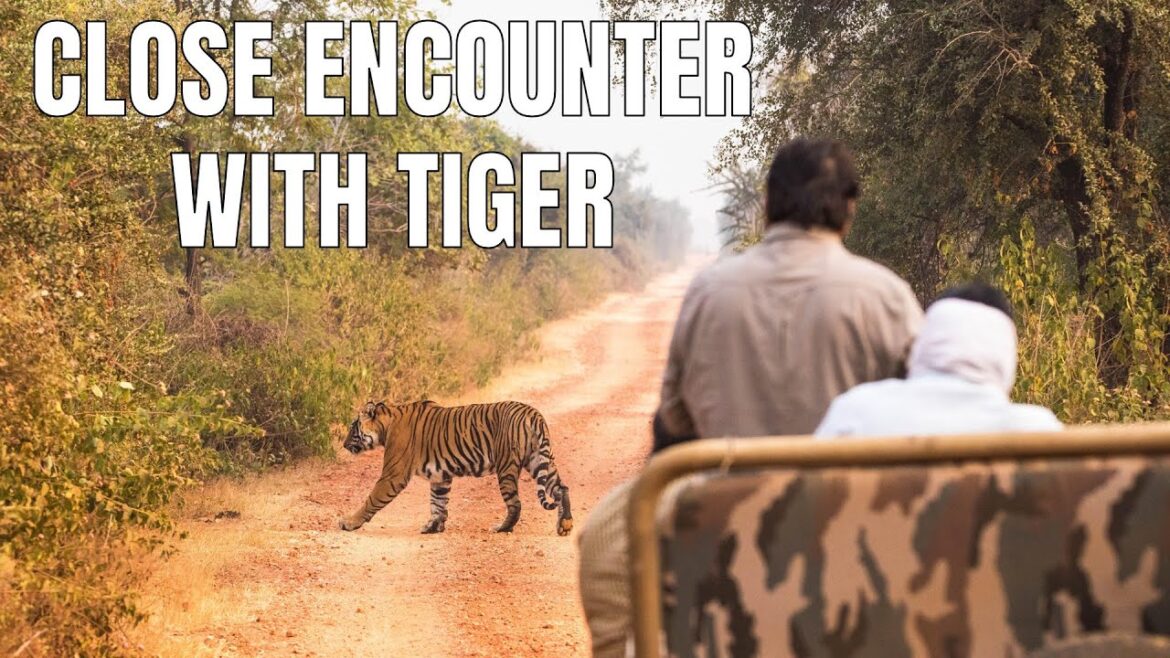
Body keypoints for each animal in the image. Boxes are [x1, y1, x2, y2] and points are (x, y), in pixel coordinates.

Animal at [339, 400, 573, 536]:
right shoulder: (440, 476)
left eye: (352, 427)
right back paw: (565, 524)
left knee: (515, 504)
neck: (387, 424)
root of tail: (533, 414)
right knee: (561, 488)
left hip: (507, 466)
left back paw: (502, 528)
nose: (343, 444)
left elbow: (371, 499)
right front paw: (433, 527)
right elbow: (438, 502)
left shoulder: (393, 475)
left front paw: (349, 522)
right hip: (540, 460)